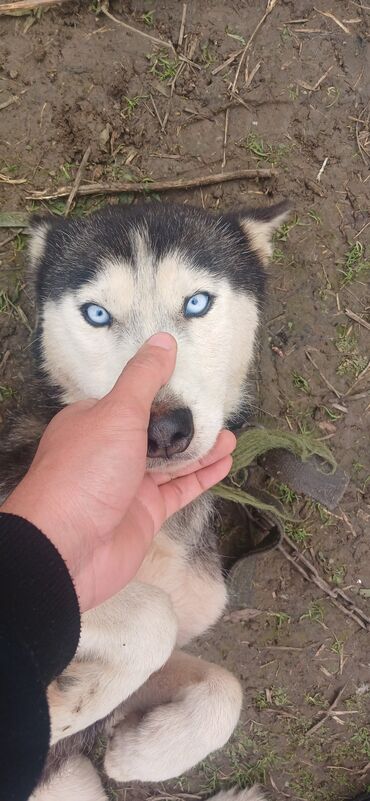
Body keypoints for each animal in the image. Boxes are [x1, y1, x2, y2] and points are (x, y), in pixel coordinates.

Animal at [0, 197, 290, 796]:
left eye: (197, 303)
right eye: (96, 314)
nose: (162, 431)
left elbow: (224, 686)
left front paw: (141, 752)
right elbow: (152, 617)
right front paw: (61, 712)